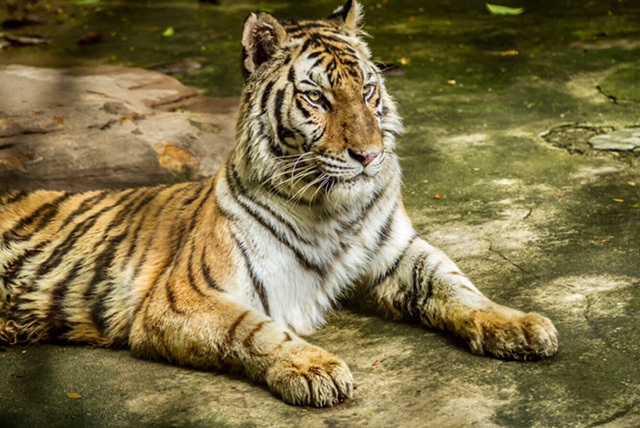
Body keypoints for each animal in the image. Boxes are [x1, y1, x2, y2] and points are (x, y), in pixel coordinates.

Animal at [0, 0, 556, 408]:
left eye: (368, 90)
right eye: (318, 98)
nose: (370, 156)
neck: (334, 210)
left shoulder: (398, 254)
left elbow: (458, 285)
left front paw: (520, 325)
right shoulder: (184, 297)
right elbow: (252, 329)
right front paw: (316, 368)